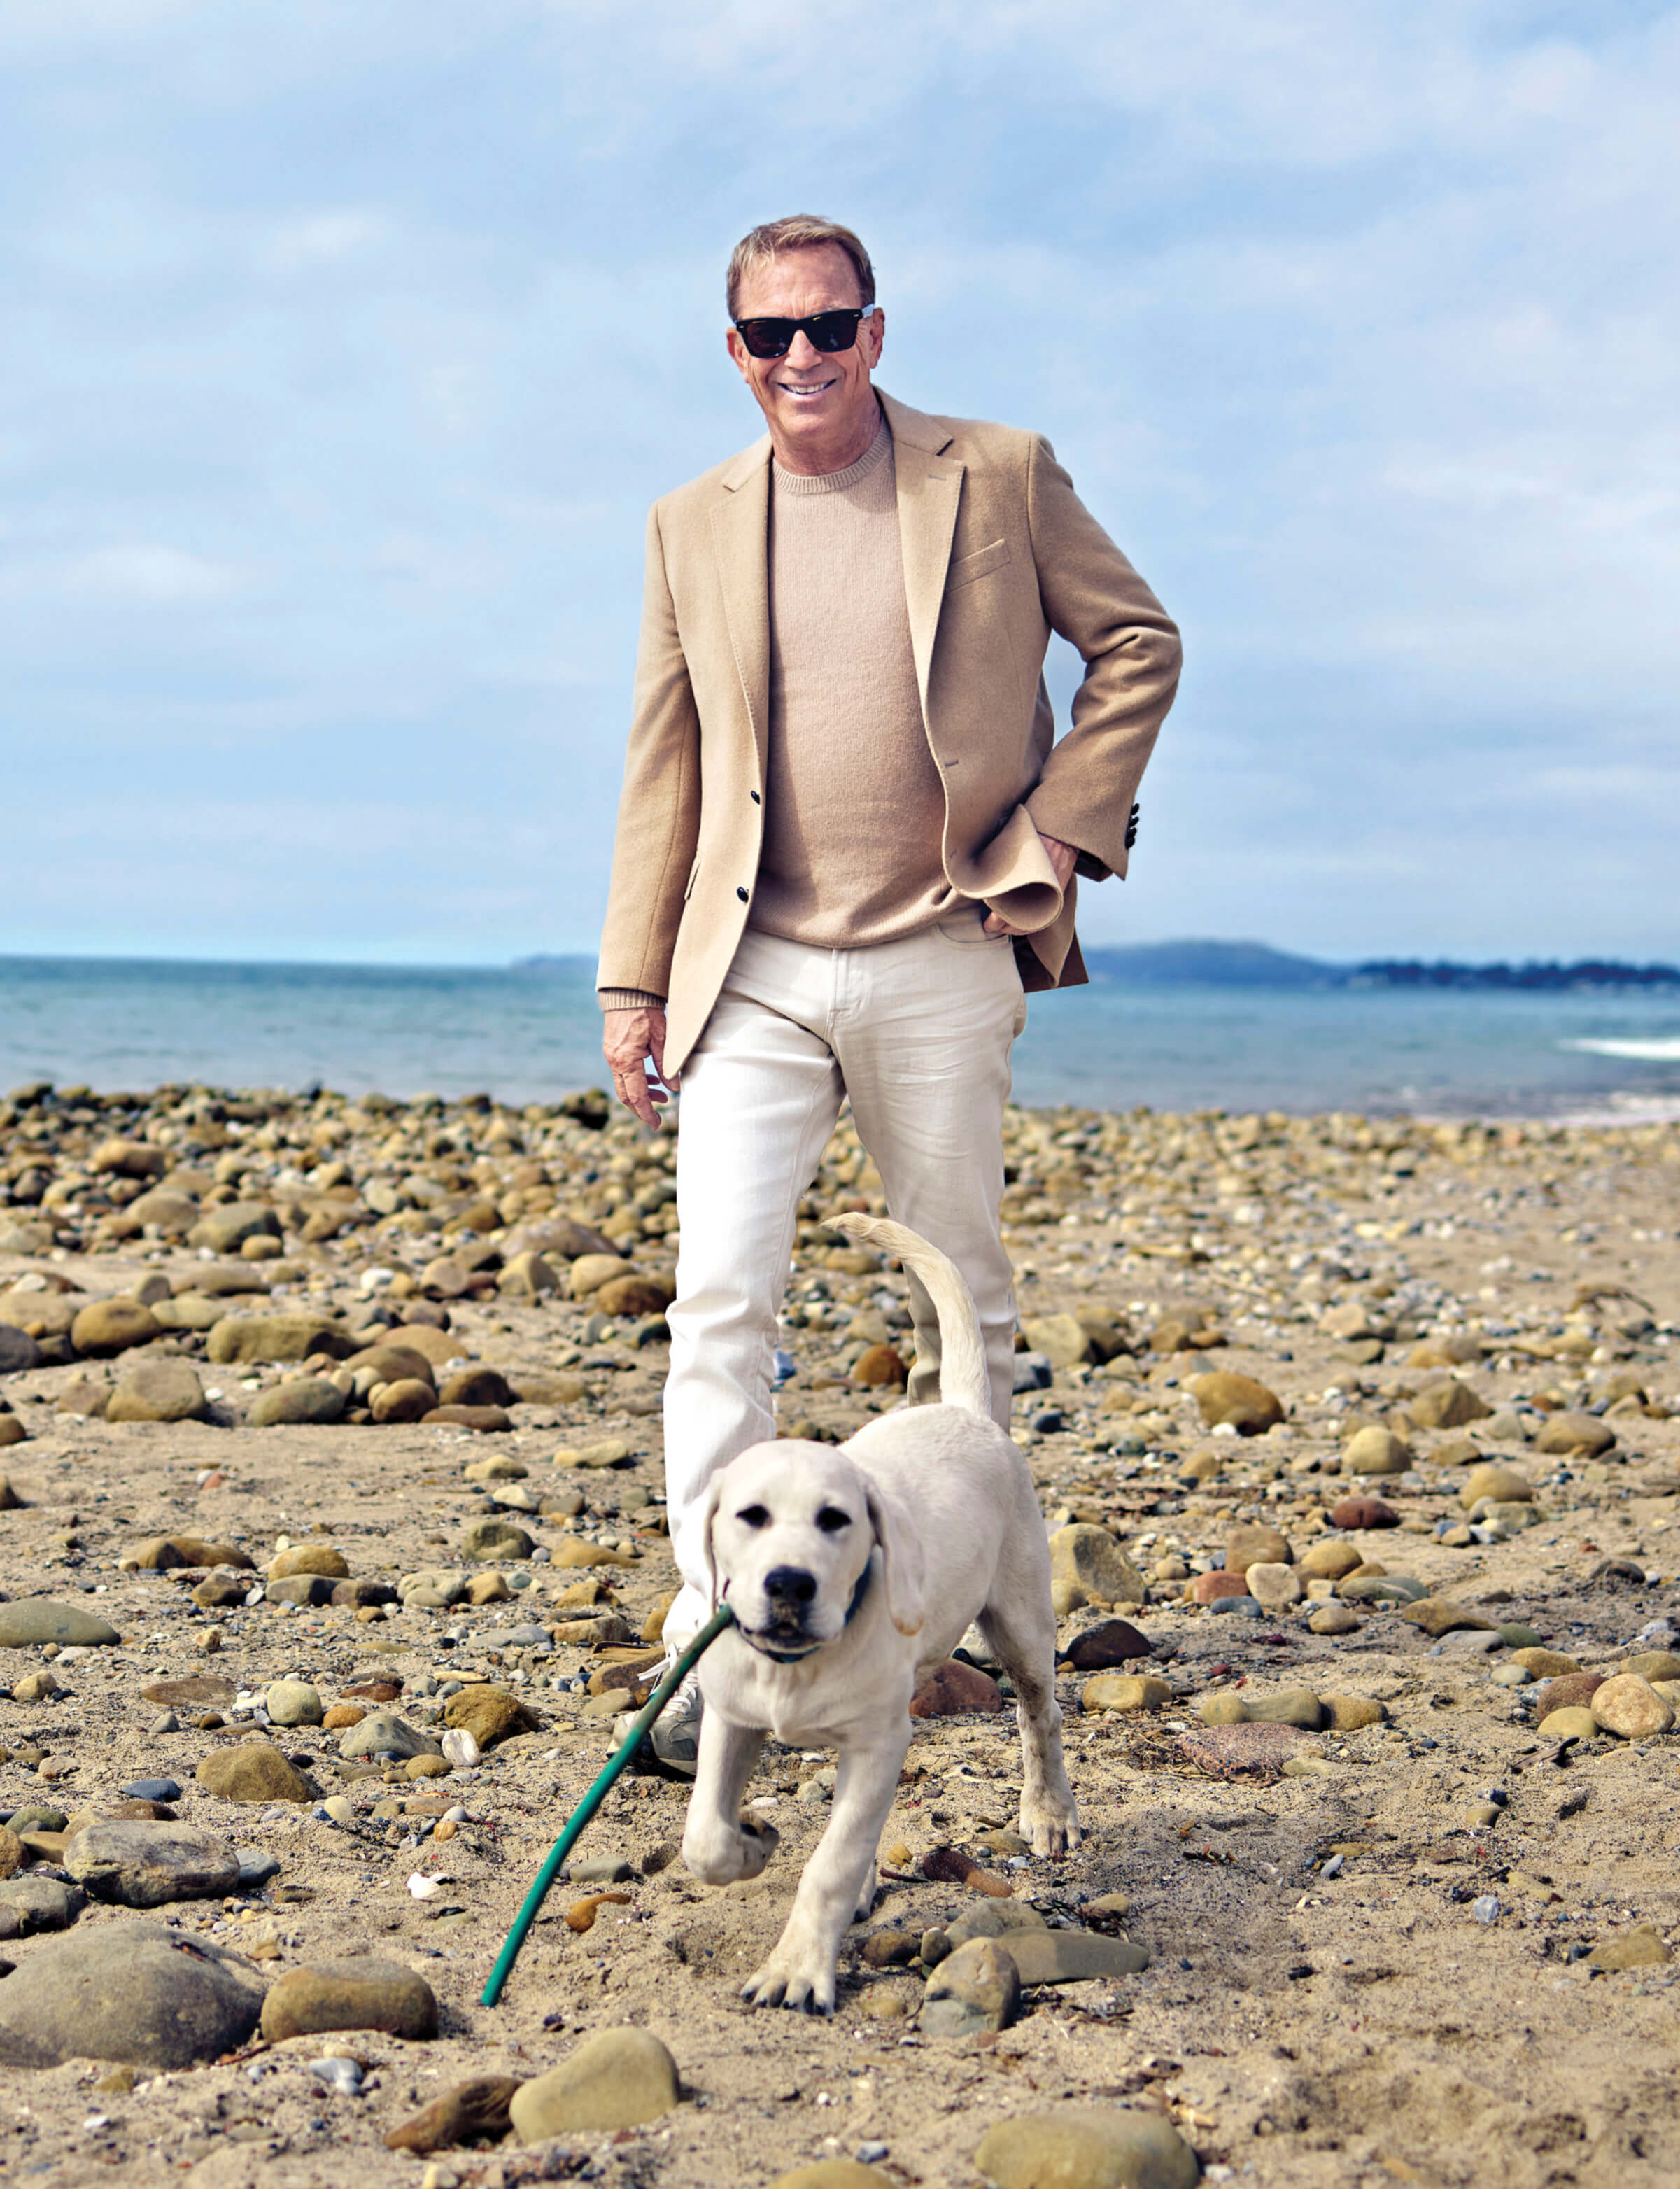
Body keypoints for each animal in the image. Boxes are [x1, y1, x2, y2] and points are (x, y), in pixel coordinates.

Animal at [678, 1217, 1076, 2013]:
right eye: (750, 1516)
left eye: (836, 1519)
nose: (789, 1583)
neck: (795, 1668)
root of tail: (962, 1410)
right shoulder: (732, 1719)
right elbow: (706, 1836)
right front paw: (752, 1844)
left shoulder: (874, 1740)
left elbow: (829, 1862)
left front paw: (798, 1967)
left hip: (1020, 1621)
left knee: (1039, 1715)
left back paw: (1049, 1814)